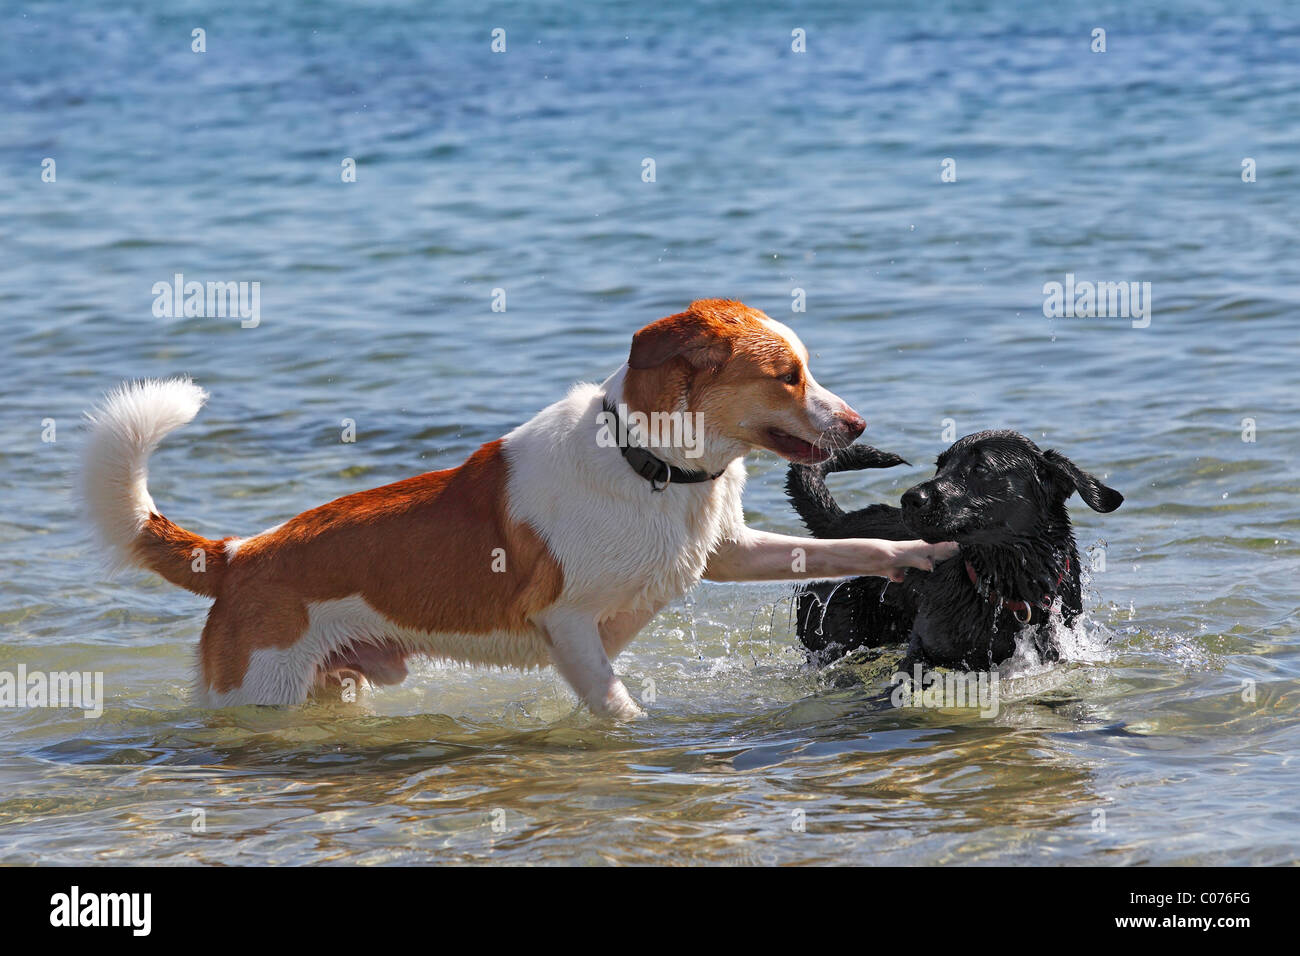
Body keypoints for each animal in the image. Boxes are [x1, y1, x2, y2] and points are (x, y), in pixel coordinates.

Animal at [81, 299, 956, 717]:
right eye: (788, 376)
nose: (859, 426)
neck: (651, 468)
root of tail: (238, 554)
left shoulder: (731, 552)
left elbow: (854, 550)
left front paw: (922, 553)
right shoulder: (567, 624)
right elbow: (616, 705)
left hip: (338, 683)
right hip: (260, 690)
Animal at [785, 434, 1123, 671]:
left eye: (980, 468)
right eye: (940, 466)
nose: (909, 498)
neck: (1004, 583)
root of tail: (838, 523)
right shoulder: (923, 647)